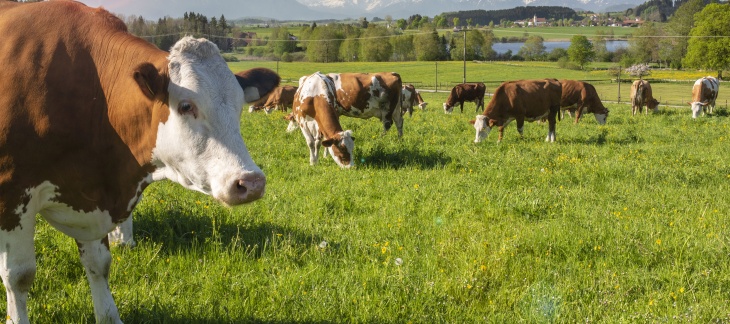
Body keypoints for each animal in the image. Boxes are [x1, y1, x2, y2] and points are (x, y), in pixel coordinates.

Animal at [0, 1, 280, 322]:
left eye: (238, 105)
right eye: (186, 106)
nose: (251, 182)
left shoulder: (90, 194)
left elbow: (99, 264)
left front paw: (109, 316)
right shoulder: (13, 195)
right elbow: (19, 275)